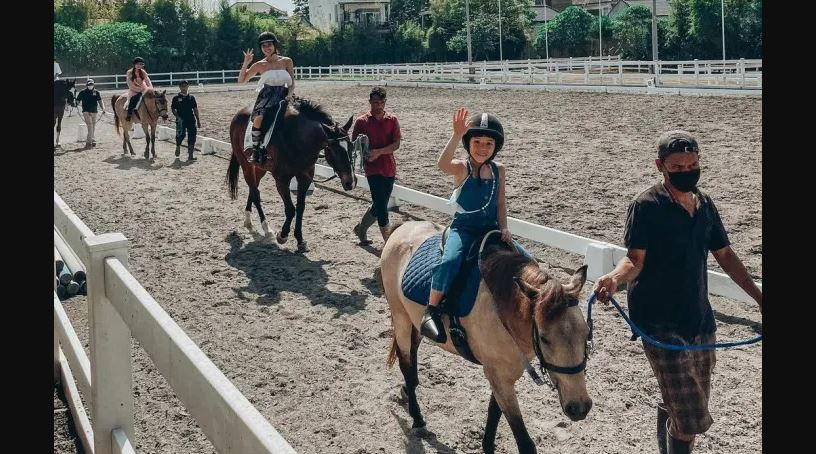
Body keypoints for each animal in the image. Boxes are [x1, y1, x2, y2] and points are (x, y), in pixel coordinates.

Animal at [230, 97, 356, 252]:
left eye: (351, 147)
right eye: (332, 149)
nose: (349, 182)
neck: (298, 138)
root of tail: (238, 114)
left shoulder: (305, 178)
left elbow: (300, 208)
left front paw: (300, 240)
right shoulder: (281, 180)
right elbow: (290, 209)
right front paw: (282, 236)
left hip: (259, 168)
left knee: (253, 190)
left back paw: (248, 221)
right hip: (246, 165)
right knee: (255, 194)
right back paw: (267, 229)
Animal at [380, 222, 588, 452]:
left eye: (587, 334)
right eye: (544, 338)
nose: (579, 407)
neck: (503, 310)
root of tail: (403, 227)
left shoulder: (504, 374)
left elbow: (494, 412)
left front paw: (487, 445)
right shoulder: (499, 375)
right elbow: (523, 441)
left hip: (414, 321)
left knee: (412, 355)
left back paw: (409, 392)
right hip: (400, 316)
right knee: (406, 363)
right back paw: (417, 418)